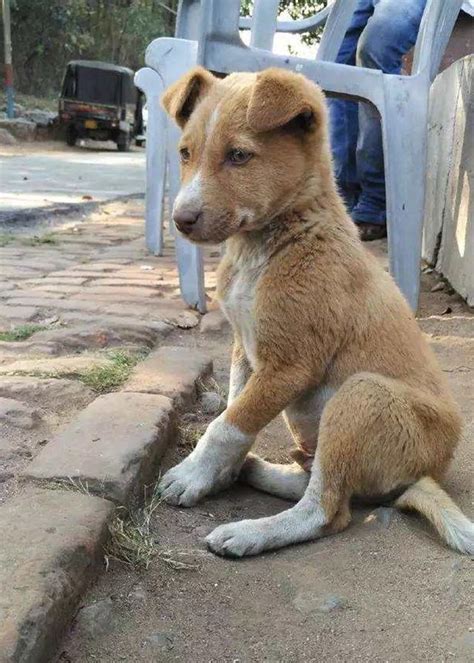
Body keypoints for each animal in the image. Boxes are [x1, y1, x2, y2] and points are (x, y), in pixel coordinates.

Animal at [157, 67, 472, 556]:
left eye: (240, 155)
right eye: (185, 154)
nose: (181, 220)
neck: (274, 243)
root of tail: (423, 476)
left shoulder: (290, 366)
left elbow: (228, 424)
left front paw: (192, 474)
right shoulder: (245, 350)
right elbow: (234, 409)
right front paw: (215, 474)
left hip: (363, 396)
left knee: (328, 510)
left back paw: (249, 532)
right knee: (322, 482)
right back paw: (258, 470)